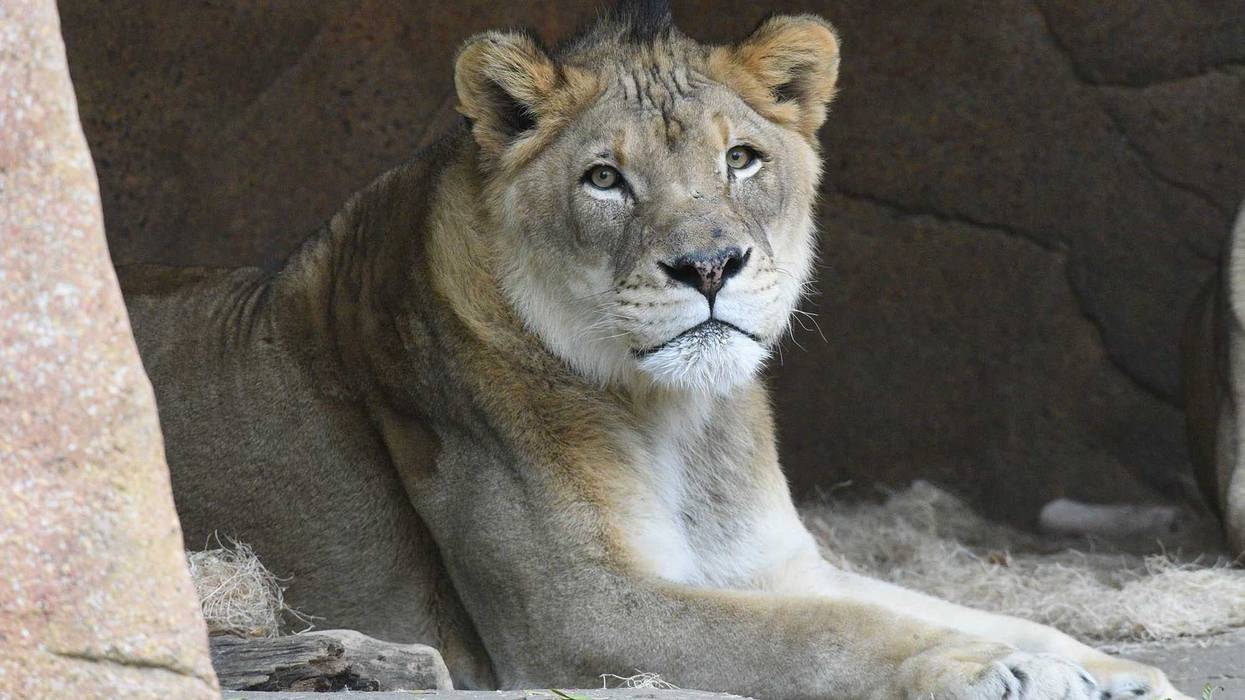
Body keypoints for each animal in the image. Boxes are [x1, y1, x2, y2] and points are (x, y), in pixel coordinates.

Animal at [121, 3, 1191, 698]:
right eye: (605, 179)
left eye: (741, 159)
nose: (709, 264)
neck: (684, 416)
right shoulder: (578, 611)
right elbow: (827, 634)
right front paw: (985, 671)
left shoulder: (775, 563)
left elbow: (950, 606)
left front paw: (1107, 668)